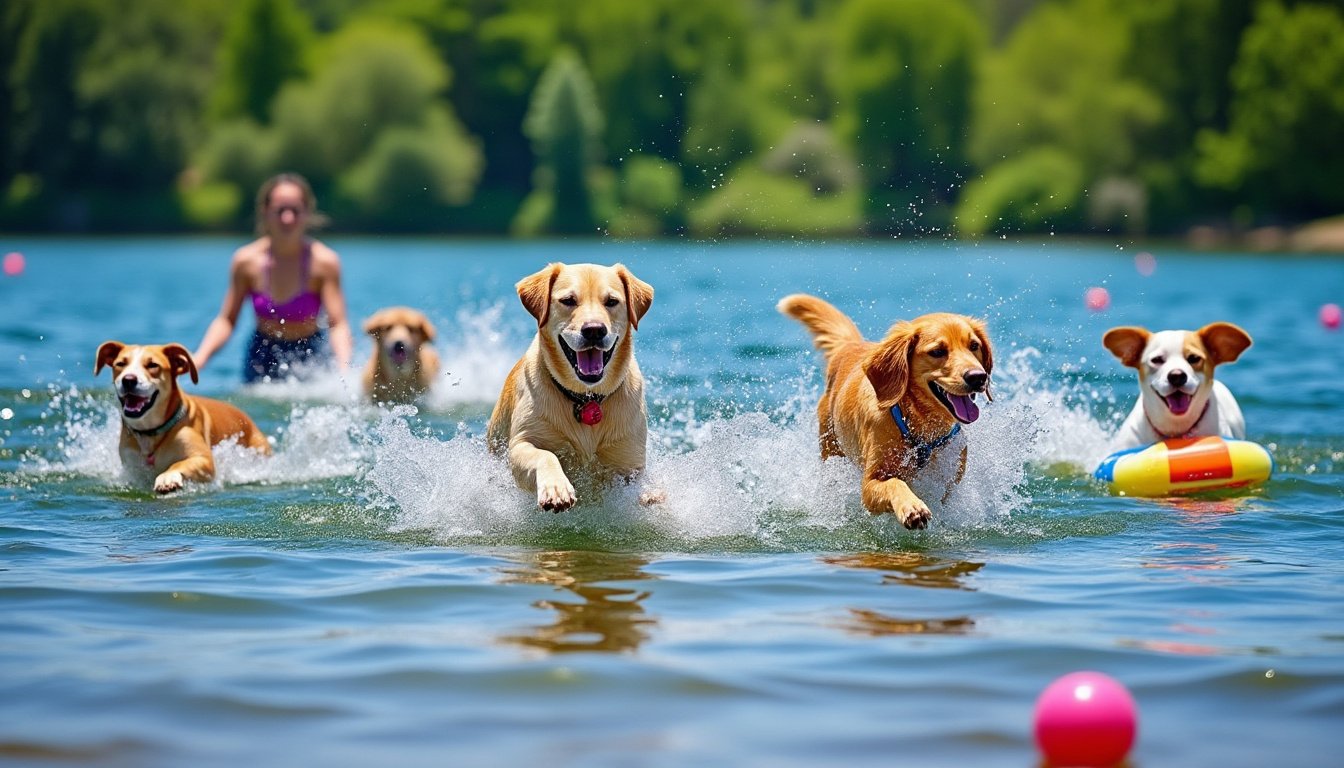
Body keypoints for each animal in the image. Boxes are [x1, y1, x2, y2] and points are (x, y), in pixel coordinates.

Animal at [95, 341, 272, 492]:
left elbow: (180, 463)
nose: (129, 380)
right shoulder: (132, 465)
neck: (151, 433)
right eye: (120, 364)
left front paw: (167, 477)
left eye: (153, 365)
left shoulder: (204, 460)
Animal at [489, 263, 655, 511]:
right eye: (568, 300)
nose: (594, 330)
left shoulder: (629, 460)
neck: (587, 398)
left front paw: (651, 496)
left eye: (611, 301)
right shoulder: (521, 443)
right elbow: (545, 455)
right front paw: (556, 489)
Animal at [784, 294, 994, 529]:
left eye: (974, 346)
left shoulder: (948, 482)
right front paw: (912, 507)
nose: (978, 377)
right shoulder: (870, 484)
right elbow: (895, 482)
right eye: (937, 351)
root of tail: (850, 345)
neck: (919, 427)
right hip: (830, 450)